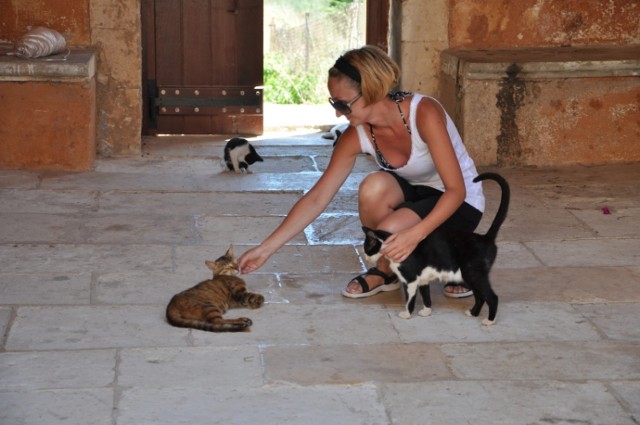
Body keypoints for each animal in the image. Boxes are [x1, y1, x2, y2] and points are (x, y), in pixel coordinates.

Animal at [364, 172, 510, 324]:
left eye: (366, 248)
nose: (365, 258)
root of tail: (485, 237)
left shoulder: (410, 280)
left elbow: (409, 300)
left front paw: (407, 314)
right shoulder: (423, 279)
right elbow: (426, 297)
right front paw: (426, 312)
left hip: (473, 274)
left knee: (492, 297)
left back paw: (489, 320)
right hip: (471, 276)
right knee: (480, 296)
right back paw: (473, 313)